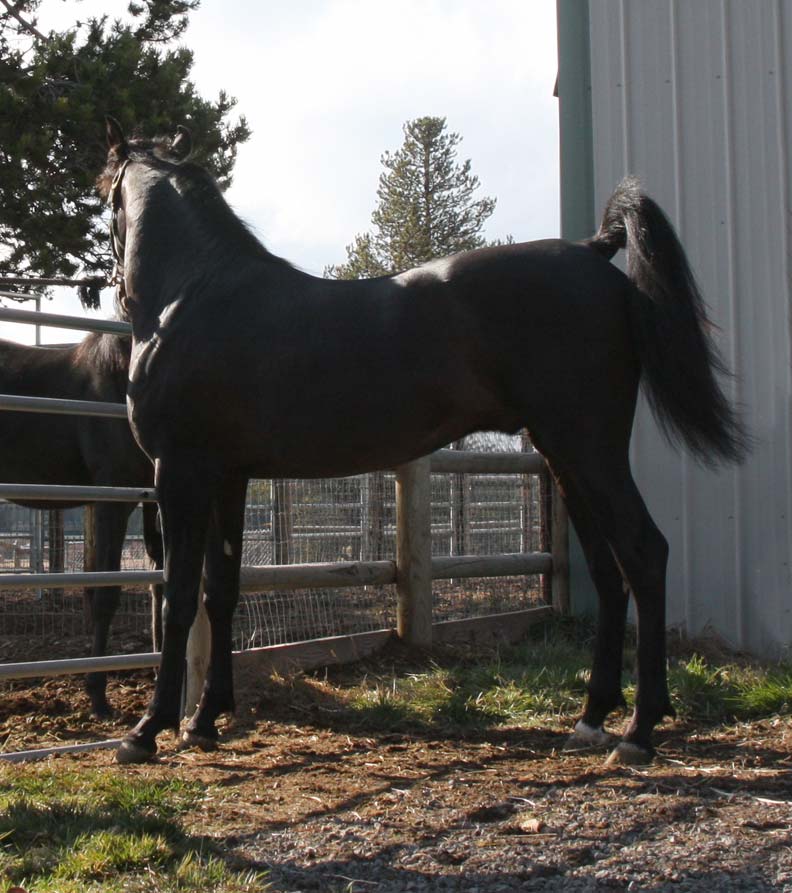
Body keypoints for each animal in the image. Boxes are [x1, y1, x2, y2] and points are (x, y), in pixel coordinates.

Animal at [100, 116, 748, 760]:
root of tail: (593, 251)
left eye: (109, 192)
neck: (194, 295)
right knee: (609, 571)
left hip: (591, 450)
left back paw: (639, 730)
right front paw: (206, 718)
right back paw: (592, 717)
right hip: (566, 457)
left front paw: (148, 729)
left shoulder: (180, 471)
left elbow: (178, 597)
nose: (117, 294)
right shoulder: (229, 477)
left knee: (644, 553)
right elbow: (222, 591)